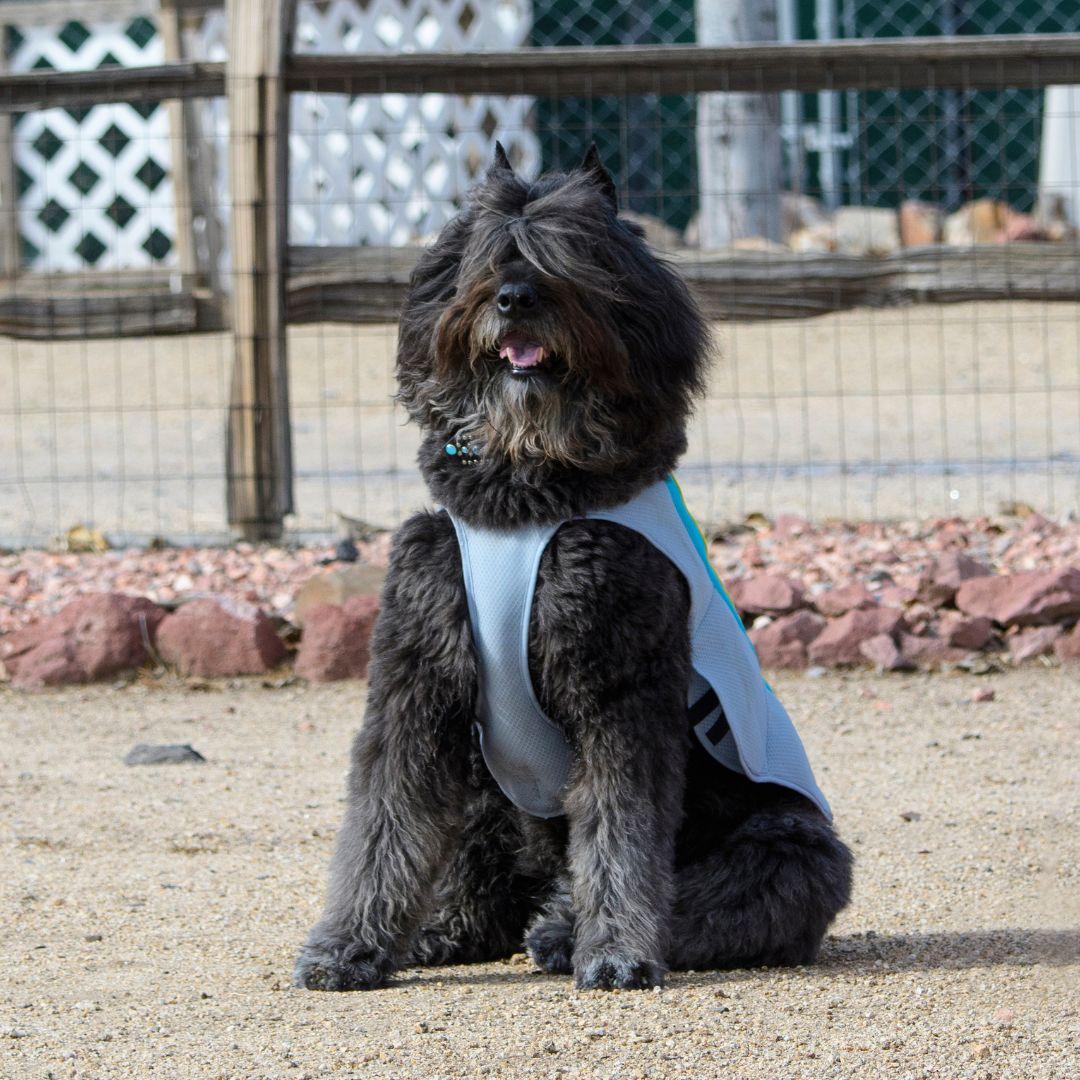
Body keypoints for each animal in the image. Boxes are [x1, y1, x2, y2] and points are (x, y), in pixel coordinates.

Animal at [295, 147, 851, 989]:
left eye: (571, 255)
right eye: (489, 253)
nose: (516, 298)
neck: (523, 495)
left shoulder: (619, 696)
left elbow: (622, 833)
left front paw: (617, 950)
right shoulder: (416, 685)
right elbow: (385, 822)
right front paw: (349, 944)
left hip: (792, 846)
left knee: (711, 902)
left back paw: (564, 933)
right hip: (490, 789)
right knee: (480, 871)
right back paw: (447, 929)